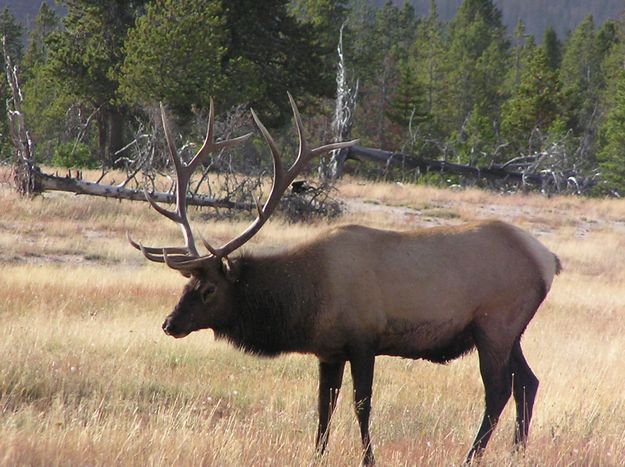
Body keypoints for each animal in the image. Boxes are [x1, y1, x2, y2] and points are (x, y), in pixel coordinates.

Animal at [128, 95, 560, 464]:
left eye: (208, 289)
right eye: (185, 285)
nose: (169, 323)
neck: (308, 299)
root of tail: (548, 260)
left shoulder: (364, 339)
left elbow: (360, 405)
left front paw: (369, 458)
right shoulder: (329, 350)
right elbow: (323, 409)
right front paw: (315, 456)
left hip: (495, 324)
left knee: (499, 391)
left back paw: (471, 457)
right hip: (511, 331)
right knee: (528, 382)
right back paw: (517, 453)